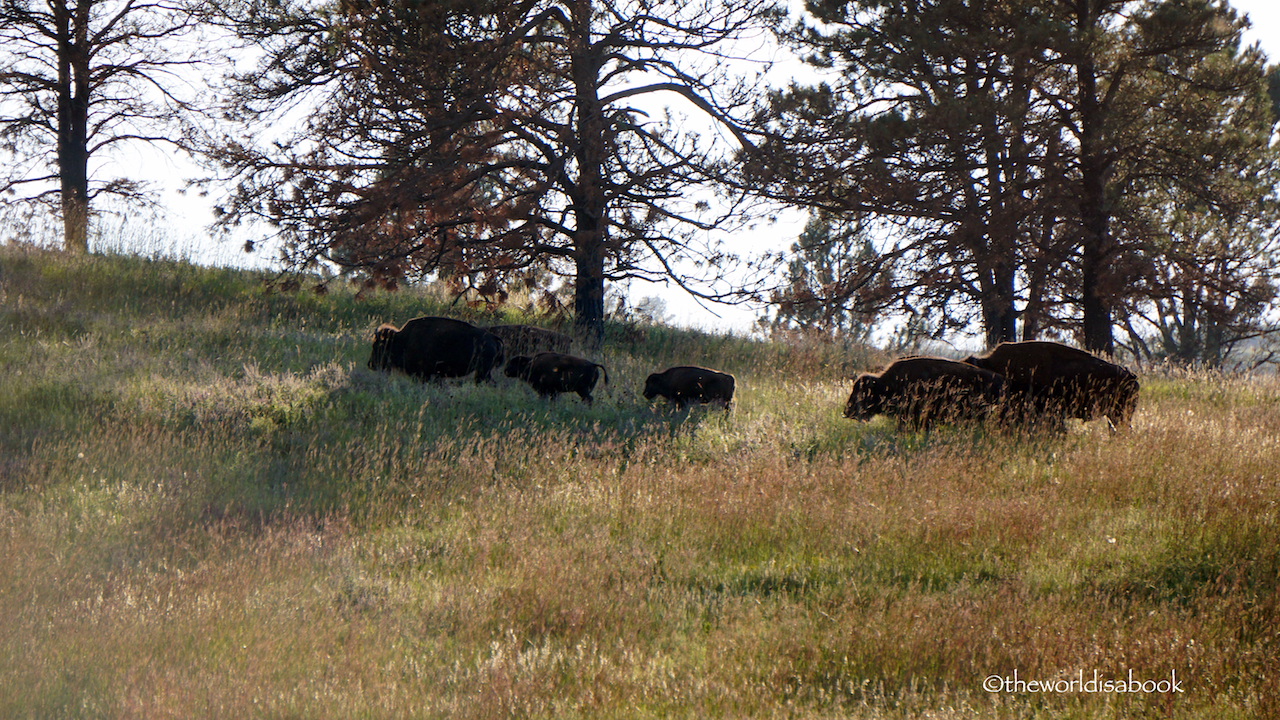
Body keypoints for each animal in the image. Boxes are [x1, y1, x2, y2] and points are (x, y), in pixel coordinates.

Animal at [366, 313, 504, 381]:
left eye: (378, 346)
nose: (371, 364)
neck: (401, 340)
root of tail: (493, 338)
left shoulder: (423, 375)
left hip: (482, 372)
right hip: (484, 372)